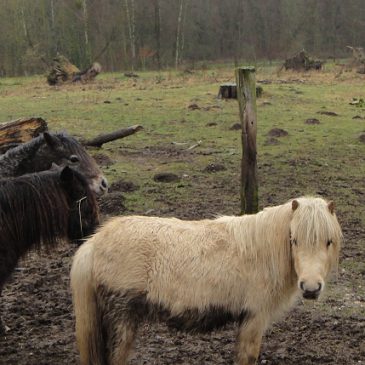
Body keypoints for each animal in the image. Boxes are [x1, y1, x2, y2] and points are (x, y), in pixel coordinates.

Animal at [70, 196, 342, 364]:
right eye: (294, 239)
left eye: (328, 241)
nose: (310, 288)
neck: (262, 252)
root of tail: (94, 242)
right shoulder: (254, 318)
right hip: (122, 319)